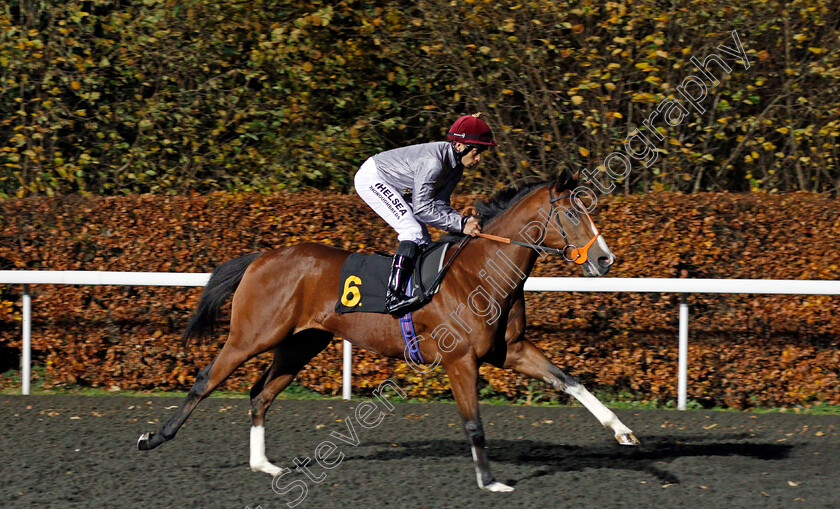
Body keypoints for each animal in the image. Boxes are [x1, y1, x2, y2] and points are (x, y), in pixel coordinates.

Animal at [136, 171, 636, 492]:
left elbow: (569, 380)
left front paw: (622, 431)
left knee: (260, 394)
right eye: (572, 214)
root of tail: (263, 256)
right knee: (206, 380)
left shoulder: (509, 350)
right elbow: (473, 423)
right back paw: (154, 438)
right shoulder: (460, 359)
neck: (482, 273)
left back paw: (265, 465)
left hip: (302, 342)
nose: (605, 259)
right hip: (251, 335)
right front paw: (490, 481)